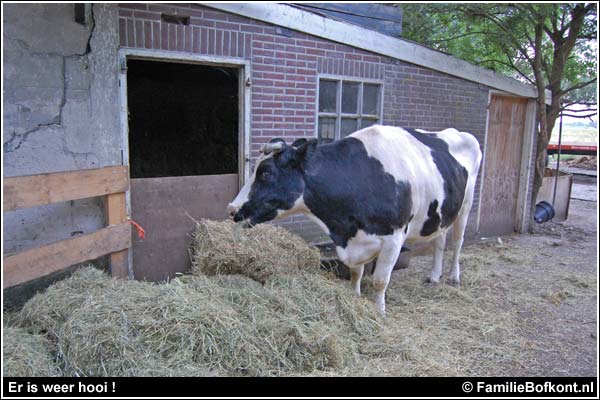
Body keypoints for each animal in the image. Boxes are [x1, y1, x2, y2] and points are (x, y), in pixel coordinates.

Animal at [227, 125, 480, 312]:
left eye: (266, 173)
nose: (231, 209)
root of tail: (457, 132)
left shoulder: (394, 238)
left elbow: (380, 280)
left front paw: (379, 312)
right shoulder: (355, 238)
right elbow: (355, 274)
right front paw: (355, 298)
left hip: (466, 205)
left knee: (457, 242)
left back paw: (453, 277)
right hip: (443, 212)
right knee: (440, 240)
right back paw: (435, 276)